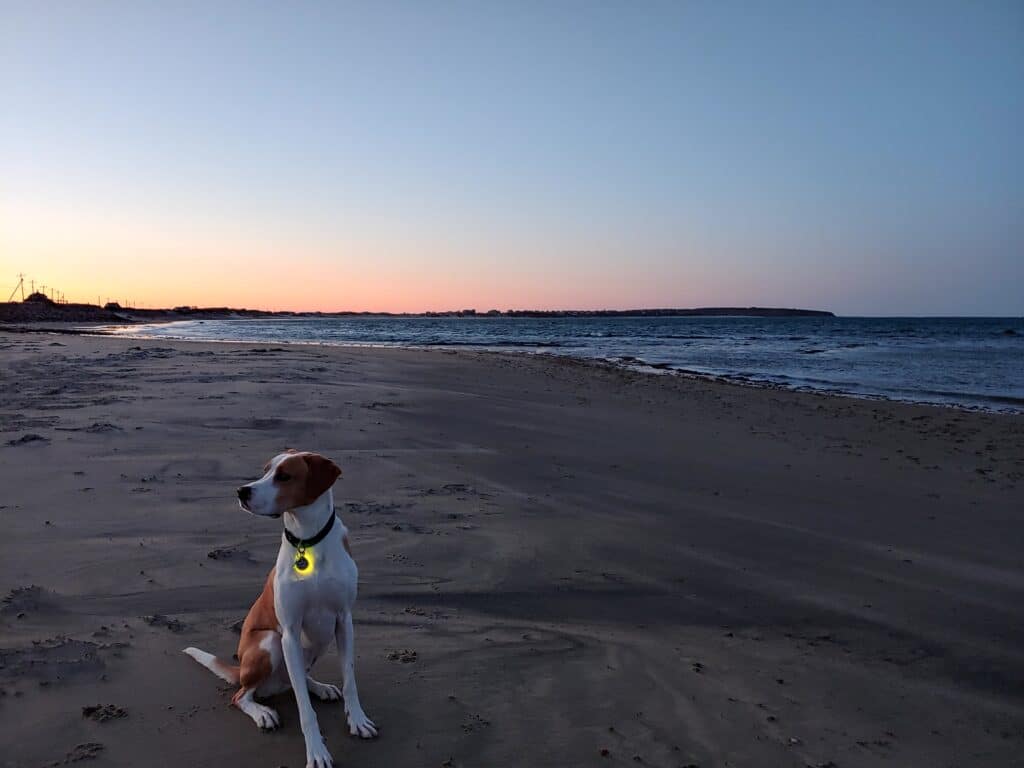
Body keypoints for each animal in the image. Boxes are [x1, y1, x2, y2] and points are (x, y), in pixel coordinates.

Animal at [184, 450, 376, 768]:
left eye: (284, 476)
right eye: (265, 471)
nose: (242, 491)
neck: (308, 541)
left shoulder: (344, 620)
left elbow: (350, 680)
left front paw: (358, 720)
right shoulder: (289, 631)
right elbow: (304, 709)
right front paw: (316, 751)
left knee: (295, 679)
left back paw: (319, 686)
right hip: (269, 643)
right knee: (241, 696)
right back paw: (263, 712)